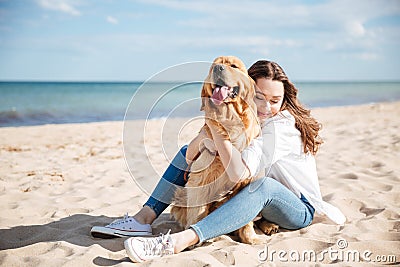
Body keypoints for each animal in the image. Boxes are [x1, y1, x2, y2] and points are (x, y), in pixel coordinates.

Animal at [170, 56, 276, 245]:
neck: (230, 119)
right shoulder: (200, 178)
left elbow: (247, 218)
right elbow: (198, 212)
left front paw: (250, 238)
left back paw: (269, 226)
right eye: (213, 66)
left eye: (233, 66)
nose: (218, 68)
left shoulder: (250, 178)